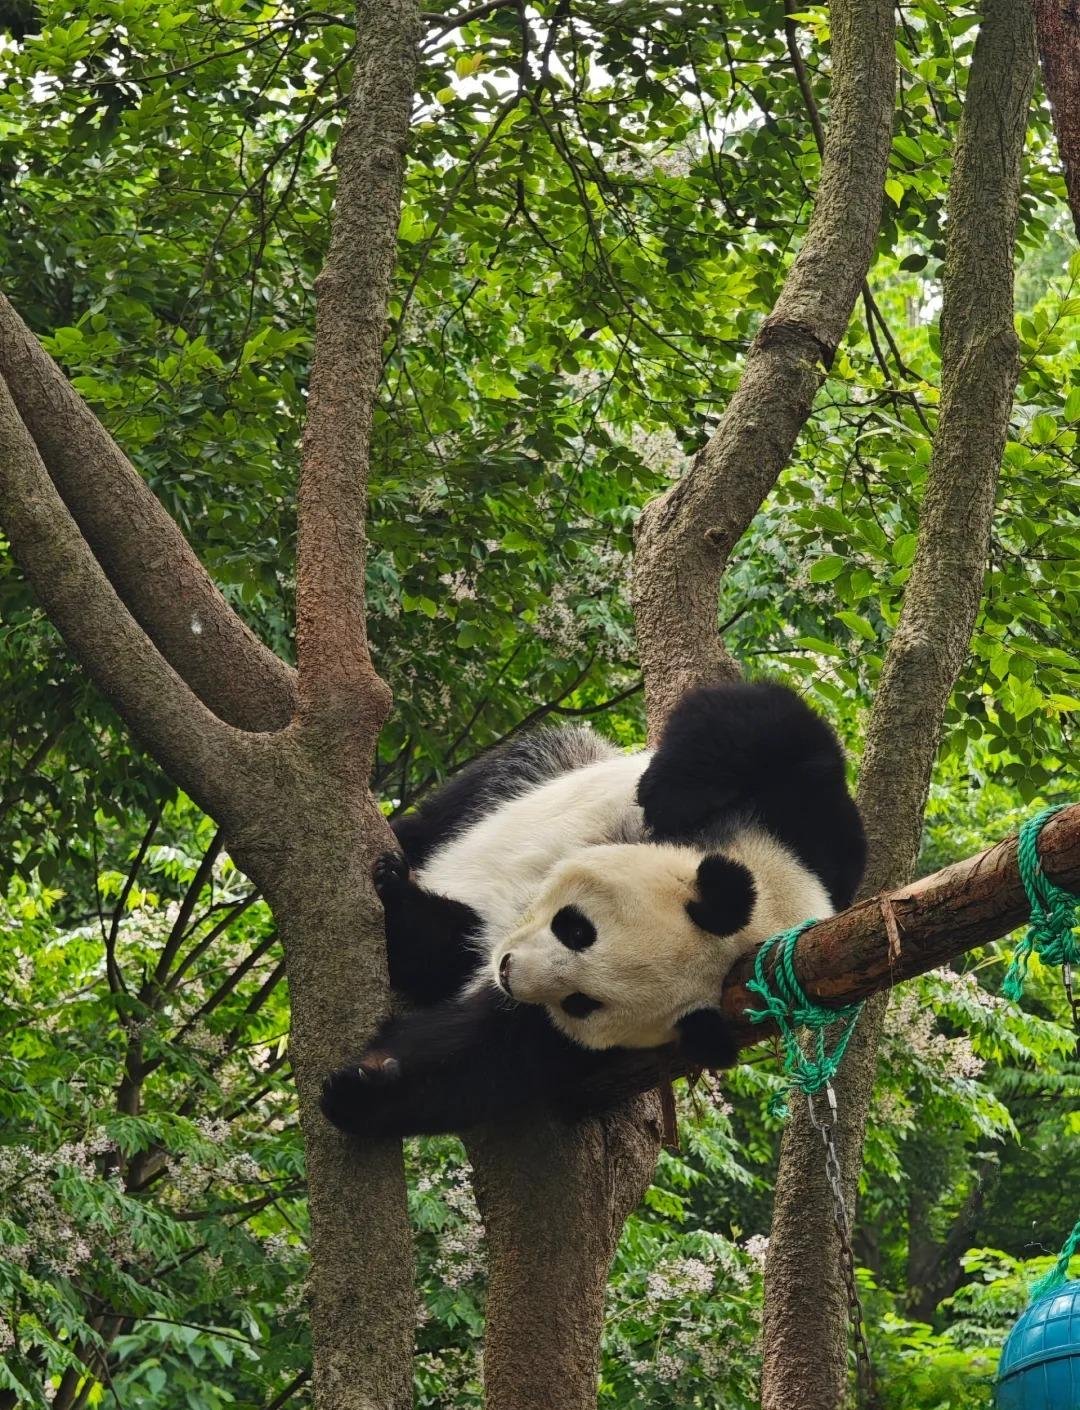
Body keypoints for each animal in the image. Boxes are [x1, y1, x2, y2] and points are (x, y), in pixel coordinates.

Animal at [320, 681, 866, 1138]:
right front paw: (664, 796)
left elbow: (492, 1058)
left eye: (581, 1002)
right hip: (535, 769)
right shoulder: (805, 833)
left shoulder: (582, 1048)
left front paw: (362, 1091)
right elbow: (762, 721)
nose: (508, 971)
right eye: (578, 929)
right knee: (470, 796)